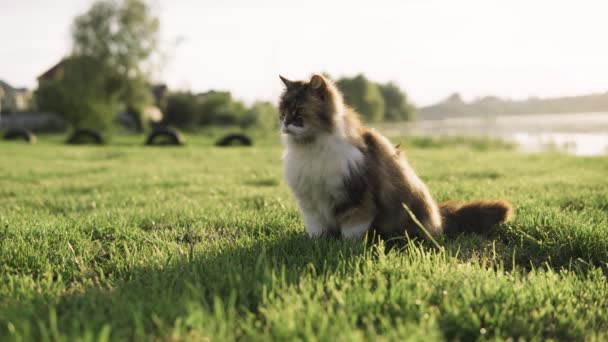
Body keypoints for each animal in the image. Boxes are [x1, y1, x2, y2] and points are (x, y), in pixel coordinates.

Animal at [280, 74, 512, 240]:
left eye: (299, 111)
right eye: (283, 112)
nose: (284, 123)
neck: (309, 149)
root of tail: (439, 215)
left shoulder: (355, 198)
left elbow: (351, 231)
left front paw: (346, 247)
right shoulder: (310, 203)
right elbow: (316, 230)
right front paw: (318, 243)